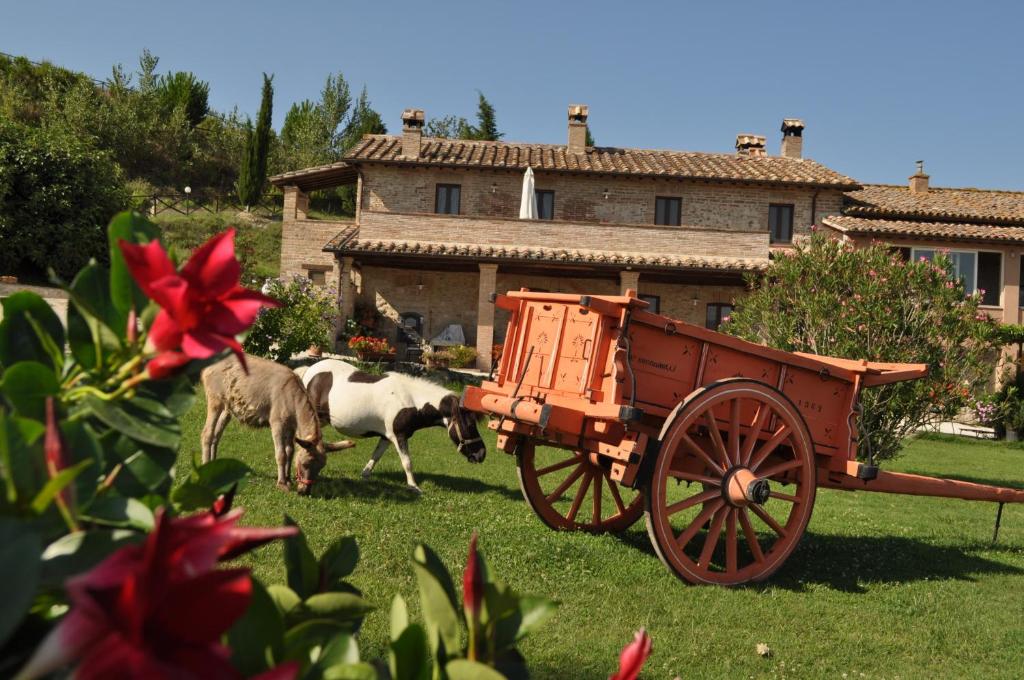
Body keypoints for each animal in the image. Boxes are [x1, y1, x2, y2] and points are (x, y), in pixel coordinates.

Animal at [296, 358, 487, 491]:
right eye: (469, 425)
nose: (481, 455)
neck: (411, 400)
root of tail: (310, 371)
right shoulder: (399, 436)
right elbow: (407, 462)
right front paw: (413, 486)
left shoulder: (387, 436)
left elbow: (376, 455)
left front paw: (365, 474)